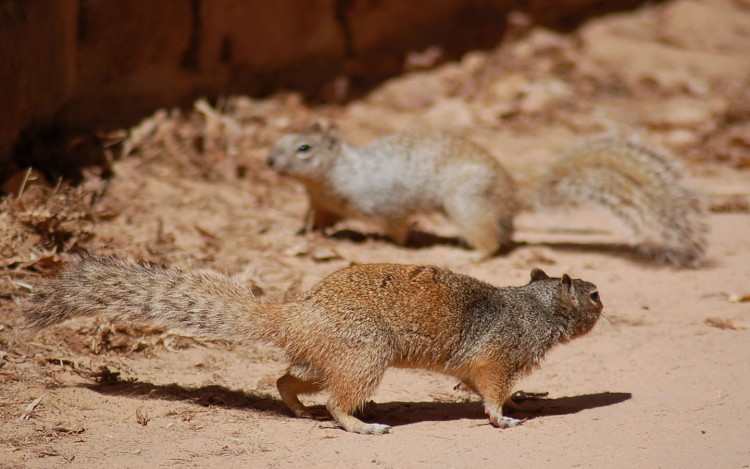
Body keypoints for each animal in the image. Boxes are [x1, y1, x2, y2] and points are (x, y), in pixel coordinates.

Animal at [25, 258, 604, 434]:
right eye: (594, 293)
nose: (606, 300)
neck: (533, 309)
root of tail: (297, 315)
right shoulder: (497, 357)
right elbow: (490, 390)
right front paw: (505, 417)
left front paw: (524, 401)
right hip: (363, 356)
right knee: (336, 401)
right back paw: (361, 424)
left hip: (329, 359)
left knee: (287, 378)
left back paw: (299, 410)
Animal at [268, 128, 708, 266]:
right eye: (280, 139)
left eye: (304, 148)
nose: (269, 160)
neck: (332, 178)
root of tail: (512, 193)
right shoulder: (321, 207)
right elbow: (314, 223)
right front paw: (295, 234)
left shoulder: (386, 201)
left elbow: (397, 226)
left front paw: (392, 243)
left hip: (466, 205)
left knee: (491, 241)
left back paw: (468, 255)